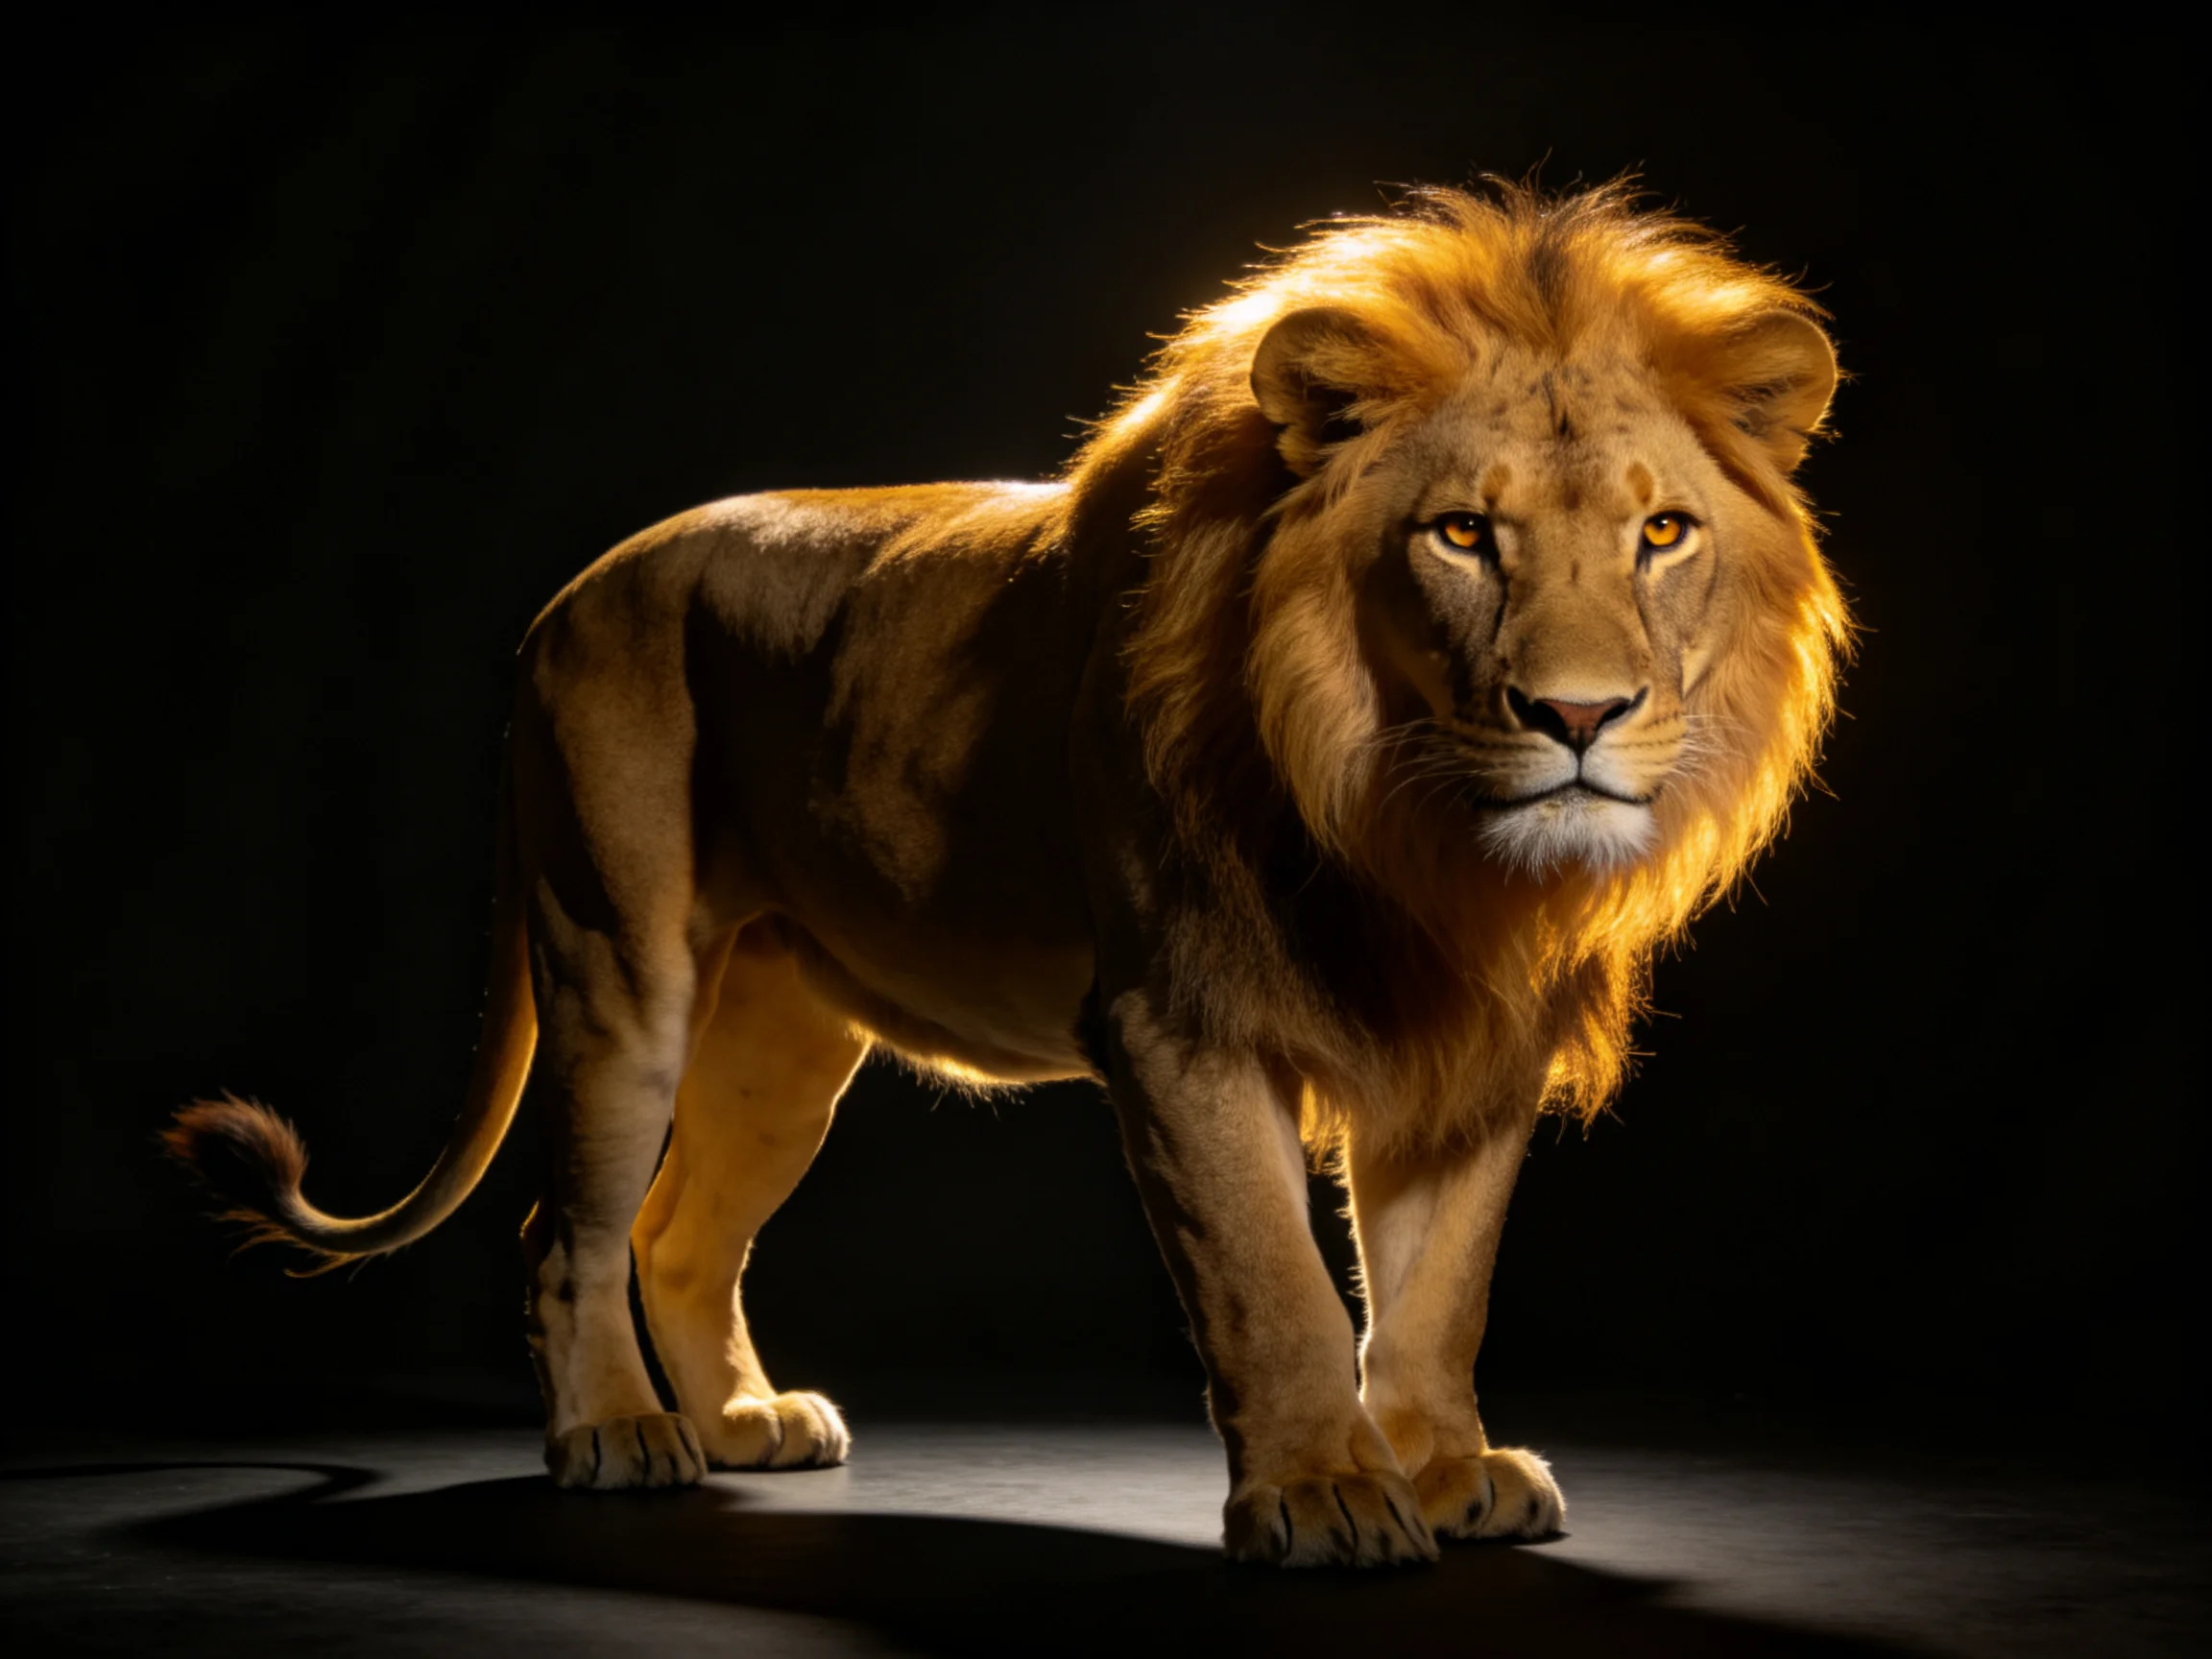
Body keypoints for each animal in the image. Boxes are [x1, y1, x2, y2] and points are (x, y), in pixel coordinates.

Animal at [169, 180, 1847, 1569]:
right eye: (1460, 536)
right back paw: (617, 1437)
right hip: (612, 967)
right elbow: (1276, 1280)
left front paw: (1440, 1468)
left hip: (781, 1039)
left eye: (1663, 533)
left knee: (677, 1230)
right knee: (564, 1236)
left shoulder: (1468, 1047)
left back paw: (739, 1425)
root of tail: (560, 603)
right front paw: (1321, 1493)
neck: (1412, 836)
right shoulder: (1180, 1029)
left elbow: (1438, 1289)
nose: (1580, 718)